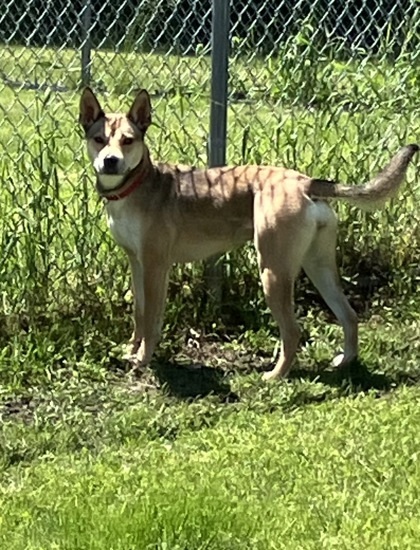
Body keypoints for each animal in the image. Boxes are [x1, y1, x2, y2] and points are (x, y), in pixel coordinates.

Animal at [78, 88, 416, 382]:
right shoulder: (136, 263)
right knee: (348, 314)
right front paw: (132, 350)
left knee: (293, 331)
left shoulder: (155, 266)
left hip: (272, 271)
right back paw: (345, 361)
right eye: (99, 139)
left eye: (128, 140)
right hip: (318, 266)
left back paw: (276, 375)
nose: (110, 161)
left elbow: (150, 319)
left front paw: (143, 359)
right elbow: (139, 312)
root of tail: (305, 182)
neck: (134, 186)